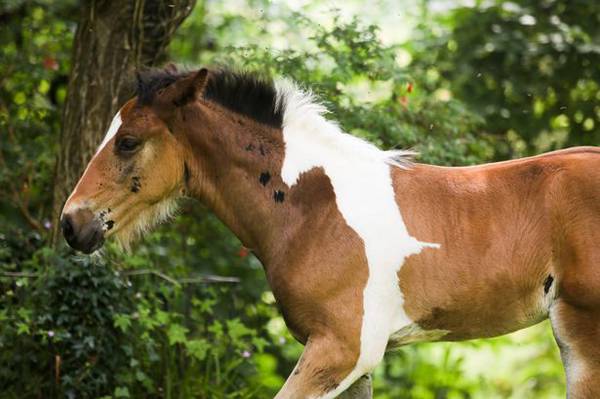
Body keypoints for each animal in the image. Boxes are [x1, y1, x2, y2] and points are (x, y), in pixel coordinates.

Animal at [61, 67, 600, 398]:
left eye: (128, 142)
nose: (71, 223)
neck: (312, 209)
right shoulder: (352, 359)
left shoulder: (343, 348)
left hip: (580, 331)